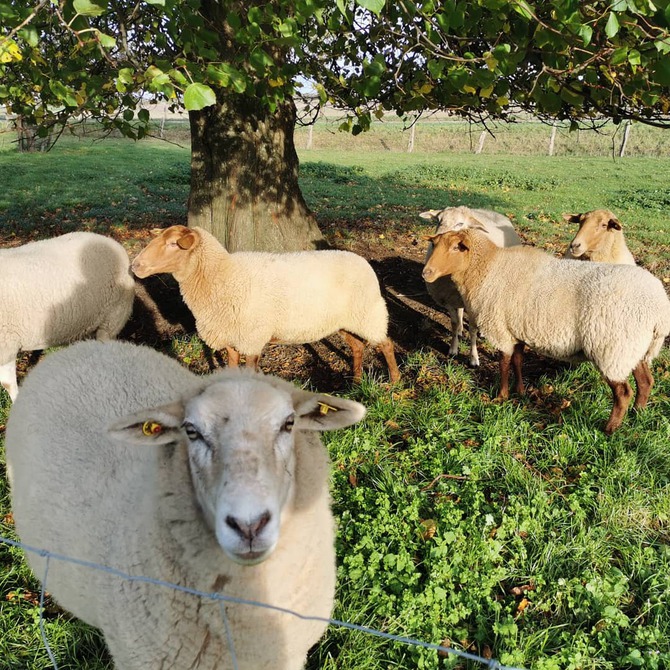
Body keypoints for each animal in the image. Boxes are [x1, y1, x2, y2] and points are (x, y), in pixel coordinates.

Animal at [134, 226, 402, 384]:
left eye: (173, 244)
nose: (135, 265)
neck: (222, 274)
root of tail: (363, 261)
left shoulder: (251, 338)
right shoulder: (232, 335)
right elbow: (232, 367)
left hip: (369, 313)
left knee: (386, 344)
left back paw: (394, 383)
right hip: (346, 320)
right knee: (358, 346)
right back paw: (356, 381)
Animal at [420, 209, 524, 370]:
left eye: (460, 223)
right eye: (438, 220)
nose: (437, 238)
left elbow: (473, 330)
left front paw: (473, 358)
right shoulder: (449, 299)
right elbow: (454, 323)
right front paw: (453, 348)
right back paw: (461, 330)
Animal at [426, 228, 670, 434]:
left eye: (456, 247)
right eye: (434, 244)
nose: (426, 272)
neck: (487, 267)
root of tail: (659, 310)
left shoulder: (500, 328)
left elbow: (504, 364)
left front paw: (501, 397)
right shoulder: (517, 329)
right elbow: (518, 361)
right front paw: (520, 392)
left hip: (611, 348)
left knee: (623, 393)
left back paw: (609, 429)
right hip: (631, 348)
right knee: (646, 382)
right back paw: (638, 414)